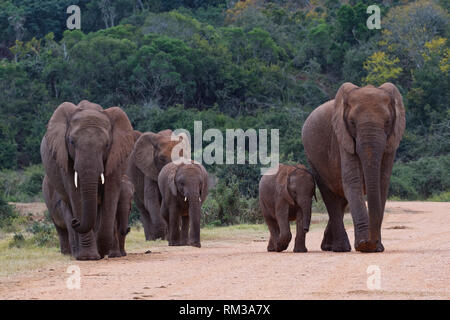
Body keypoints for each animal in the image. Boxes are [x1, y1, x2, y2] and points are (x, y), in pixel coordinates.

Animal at [40, 100, 134, 260]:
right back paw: (74, 253)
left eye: (107, 145)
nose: (75, 222)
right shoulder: (64, 156)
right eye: (71, 142)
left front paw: (103, 252)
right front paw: (88, 257)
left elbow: (110, 194)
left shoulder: (116, 156)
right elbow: (76, 194)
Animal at [302, 82, 404, 252]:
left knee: (342, 199)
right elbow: (353, 180)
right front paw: (363, 245)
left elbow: (382, 182)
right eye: (352, 123)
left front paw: (376, 248)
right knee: (331, 197)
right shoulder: (342, 138)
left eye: (388, 122)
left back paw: (328, 246)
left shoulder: (391, 141)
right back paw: (340, 248)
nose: (371, 242)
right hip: (315, 161)